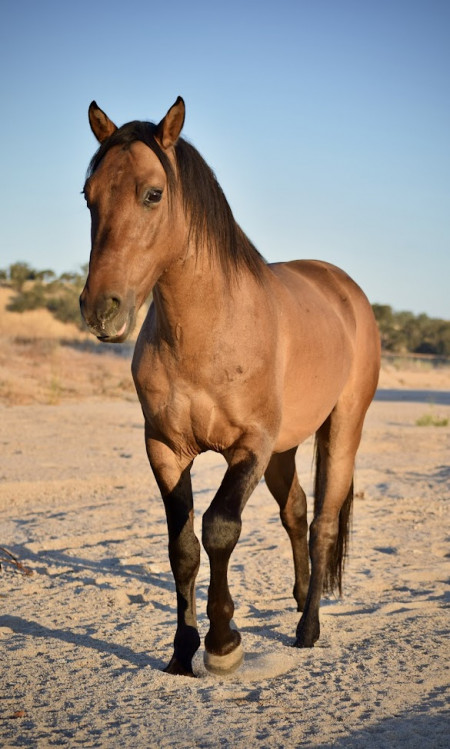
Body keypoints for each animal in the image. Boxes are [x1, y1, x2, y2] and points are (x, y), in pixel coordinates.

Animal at [81, 96, 380, 676]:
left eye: (153, 194)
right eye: (88, 196)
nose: (101, 308)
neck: (210, 330)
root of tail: (343, 287)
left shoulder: (249, 446)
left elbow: (220, 528)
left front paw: (223, 645)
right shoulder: (165, 449)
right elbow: (182, 547)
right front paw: (181, 651)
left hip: (342, 431)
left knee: (323, 525)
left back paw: (308, 628)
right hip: (284, 449)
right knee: (296, 512)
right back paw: (298, 600)